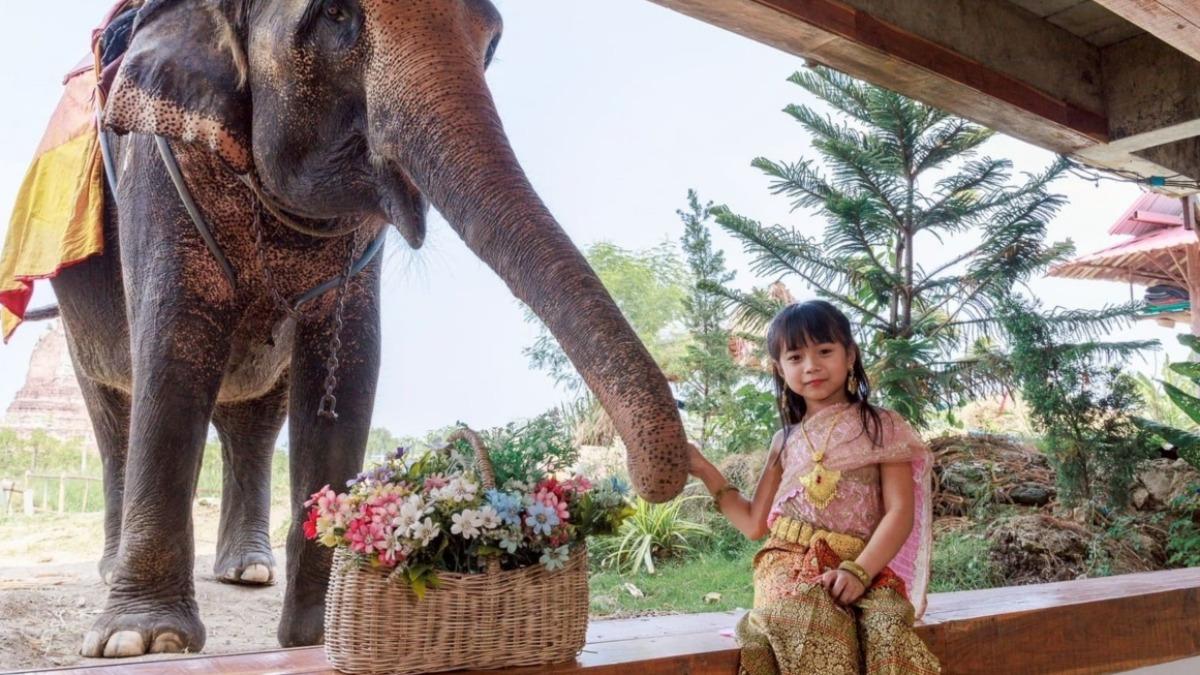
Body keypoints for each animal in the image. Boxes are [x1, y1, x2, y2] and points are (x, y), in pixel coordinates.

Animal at [51, 0, 687, 659]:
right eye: (334, 15)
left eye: (490, 40)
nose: (649, 481)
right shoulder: (158, 170)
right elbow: (172, 350)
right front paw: (140, 641)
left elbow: (350, 372)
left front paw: (312, 636)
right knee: (112, 411)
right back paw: (116, 569)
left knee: (256, 421)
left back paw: (248, 570)